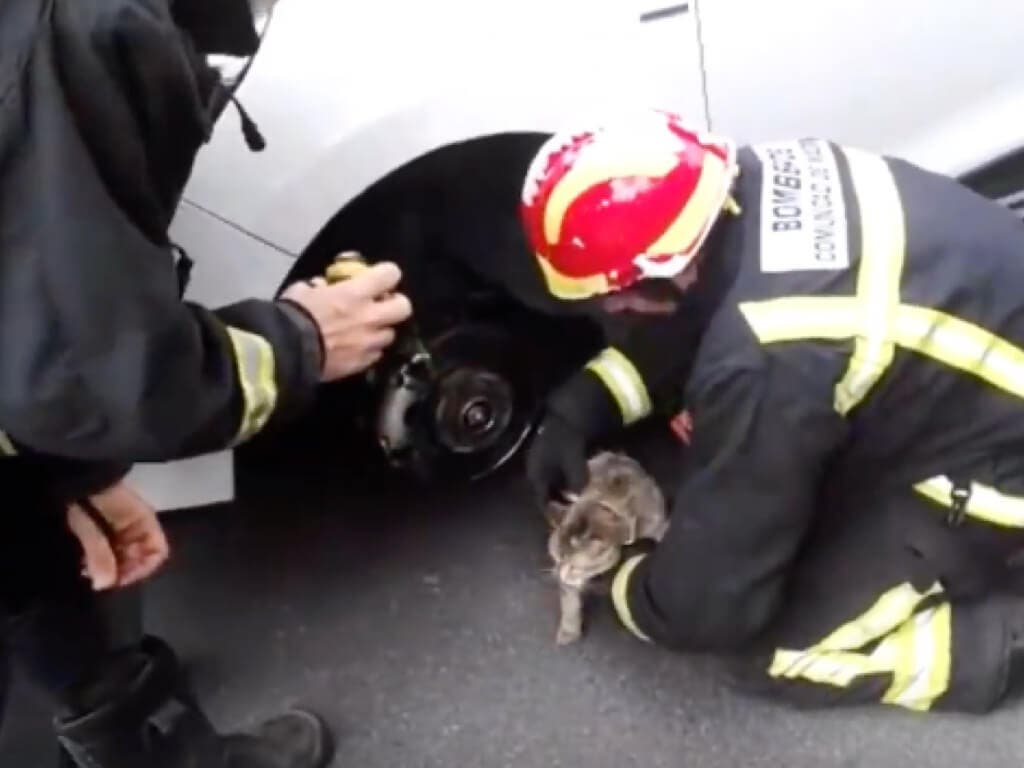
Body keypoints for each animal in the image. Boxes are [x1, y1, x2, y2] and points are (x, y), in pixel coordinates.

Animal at [544, 454, 671, 647]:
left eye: (575, 567)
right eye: (556, 559)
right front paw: (569, 630)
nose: (558, 575)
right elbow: (569, 601)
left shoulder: (656, 523)